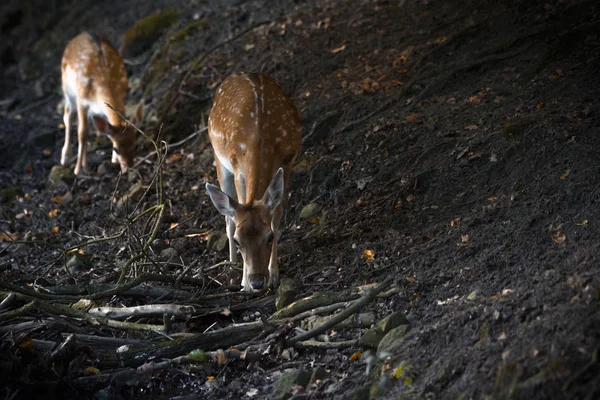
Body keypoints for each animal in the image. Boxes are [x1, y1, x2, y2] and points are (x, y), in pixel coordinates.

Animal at [60, 32, 142, 174]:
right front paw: (77, 170)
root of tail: (82, 33)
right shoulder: (82, 100)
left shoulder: (122, 95)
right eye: (116, 149)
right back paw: (66, 157)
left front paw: (113, 160)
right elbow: (82, 133)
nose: (128, 167)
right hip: (68, 90)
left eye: (135, 145)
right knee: (68, 116)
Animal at [206, 72, 302, 290]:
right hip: (219, 159)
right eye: (238, 241)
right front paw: (244, 282)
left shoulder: (288, 161)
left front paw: (274, 274)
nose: (257, 281)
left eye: (270, 237)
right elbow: (239, 209)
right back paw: (231, 263)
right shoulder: (237, 167)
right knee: (228, 217)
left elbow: (277, 215)